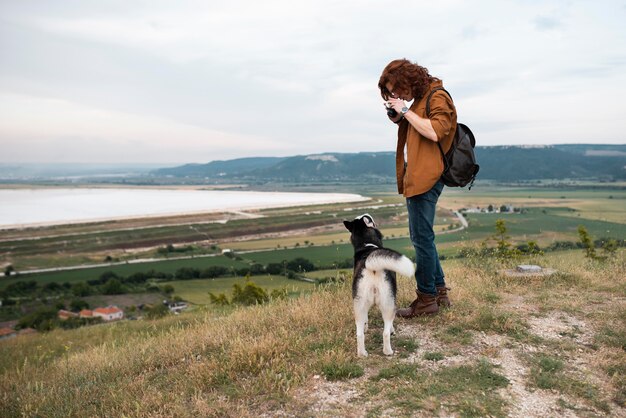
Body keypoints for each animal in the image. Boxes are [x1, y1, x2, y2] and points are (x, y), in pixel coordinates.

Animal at [342, 216, 414, 356]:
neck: (366, 244)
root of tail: (371, 265)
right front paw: (392, 330)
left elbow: (365, 322)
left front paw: (366, 328)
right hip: (388, 303)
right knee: (385, 332)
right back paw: (388, 351)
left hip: (359, 304)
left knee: (359, 334)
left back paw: (362, 353)